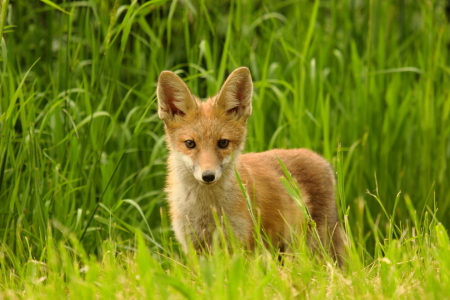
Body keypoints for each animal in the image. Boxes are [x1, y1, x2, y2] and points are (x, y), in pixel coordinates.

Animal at [157, 67, 344, 266]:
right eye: (190, 143)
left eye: (223, 143)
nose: (208, 176)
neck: (208, 210)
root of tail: (320, 158)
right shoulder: (194, 247)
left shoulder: (242, 245)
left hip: (313, 246)